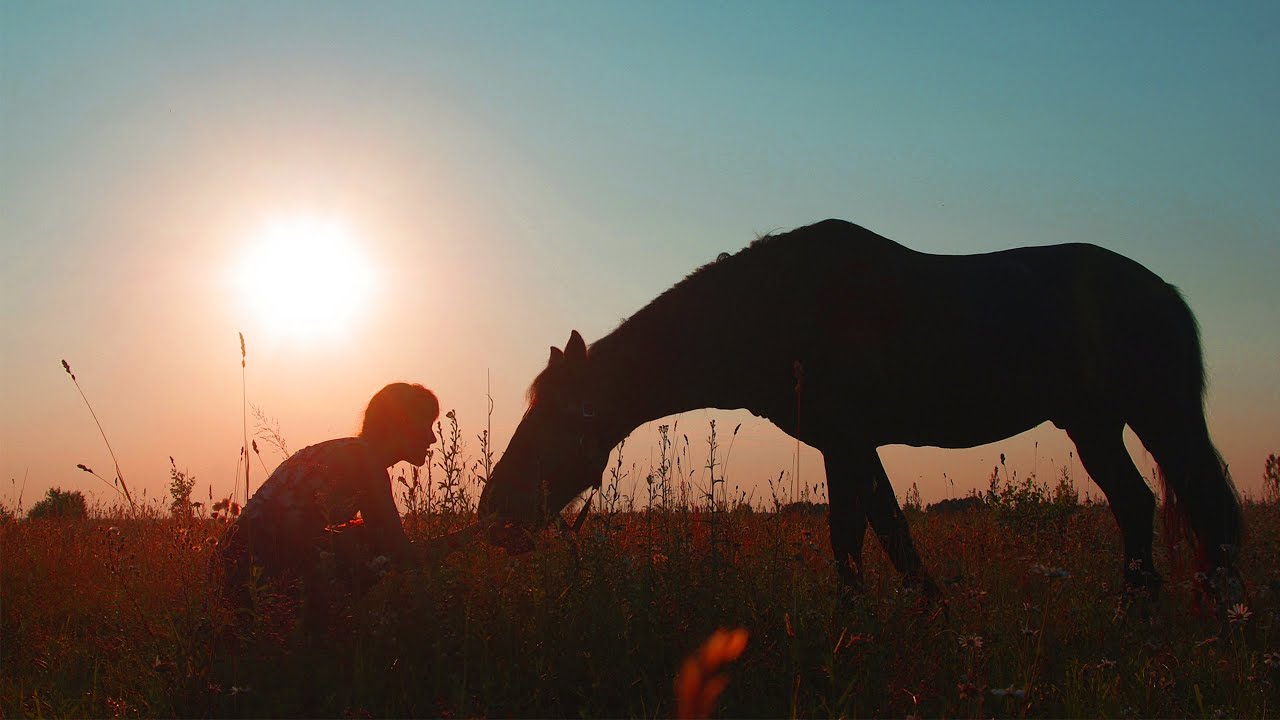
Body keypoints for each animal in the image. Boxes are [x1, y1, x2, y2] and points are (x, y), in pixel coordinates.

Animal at [478, 219, 1239, 599]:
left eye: (561, 420)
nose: (492, 518)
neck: (771, 309)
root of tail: (1164, 290)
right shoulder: (842, 444)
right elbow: (881, 531)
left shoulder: (845, 439)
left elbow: (860, 535)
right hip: (1093, 423)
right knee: (1138, 504)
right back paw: (1140, 610)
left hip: (1160, 414)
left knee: (1207, 504)